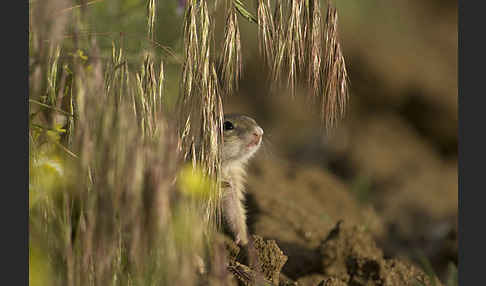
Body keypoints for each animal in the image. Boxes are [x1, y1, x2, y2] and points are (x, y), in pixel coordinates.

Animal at [222, 114, 264, 246]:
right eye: (227, 125)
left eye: (252, 119)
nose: (259, 132)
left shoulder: (234, 188)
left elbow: (237, 214)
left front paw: (242, 241)